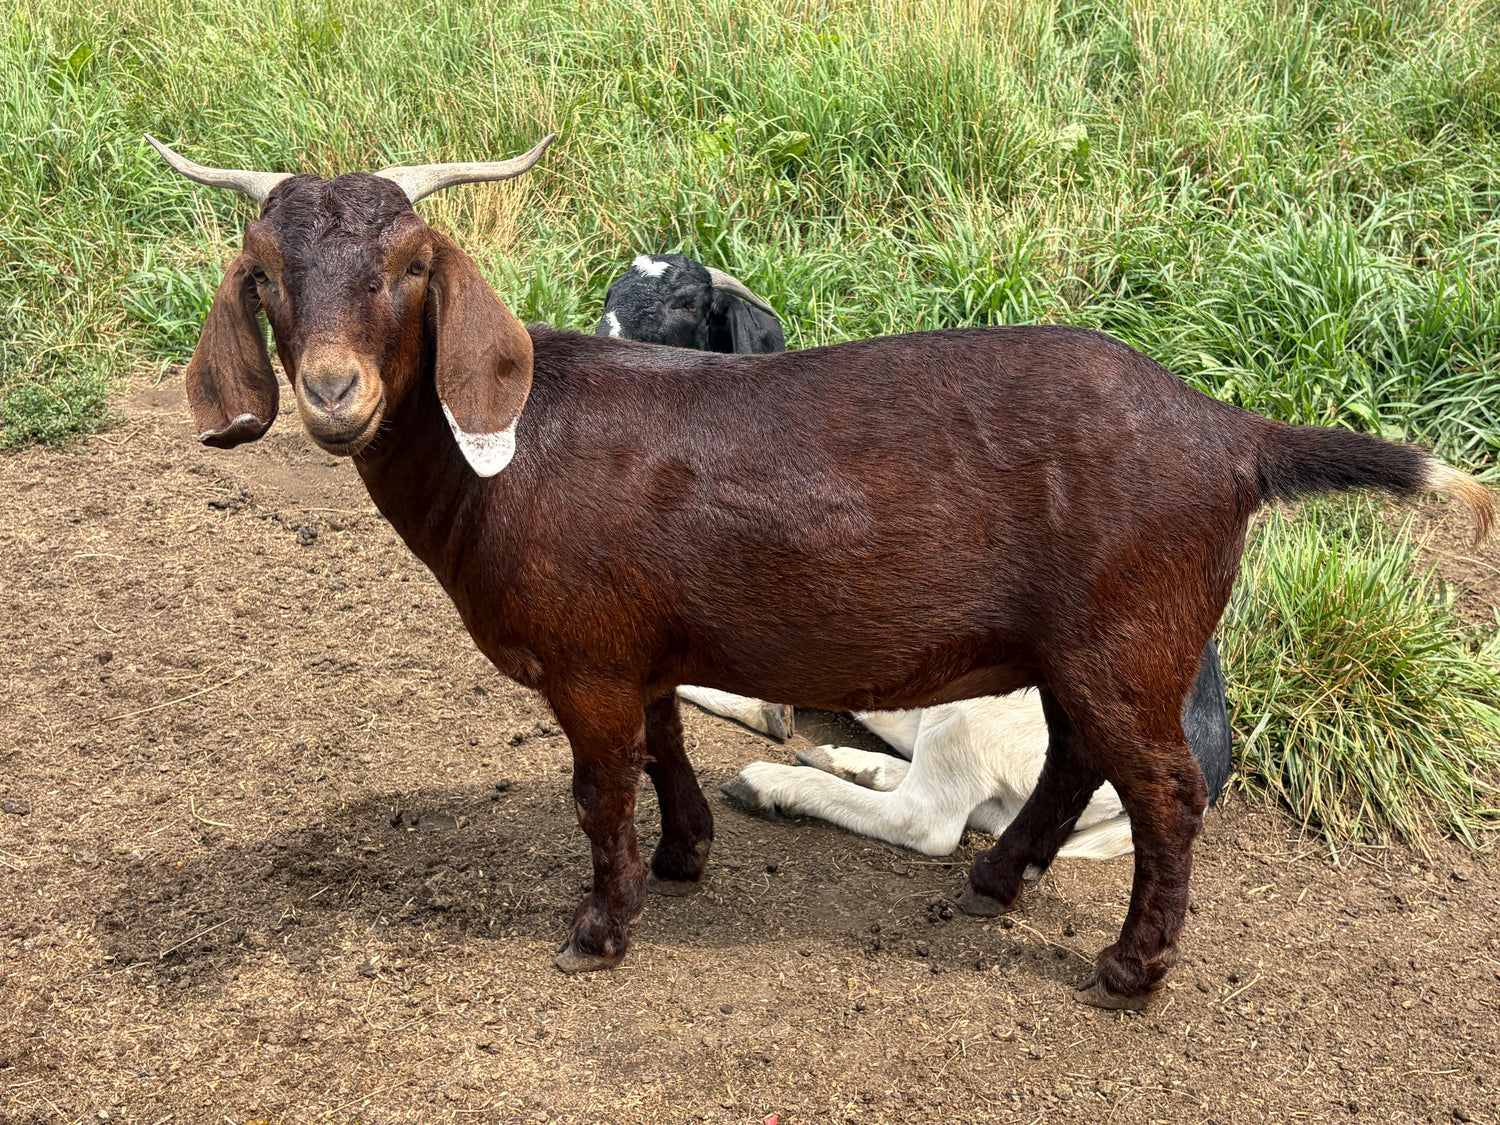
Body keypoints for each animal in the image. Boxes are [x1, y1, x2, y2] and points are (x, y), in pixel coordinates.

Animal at [597, 253, 1231, 856]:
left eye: (685, 302)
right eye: (611, 293)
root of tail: (1210, 764)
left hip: (981, 713)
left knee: (926, 821)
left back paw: (777, 784)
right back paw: (848, 761)